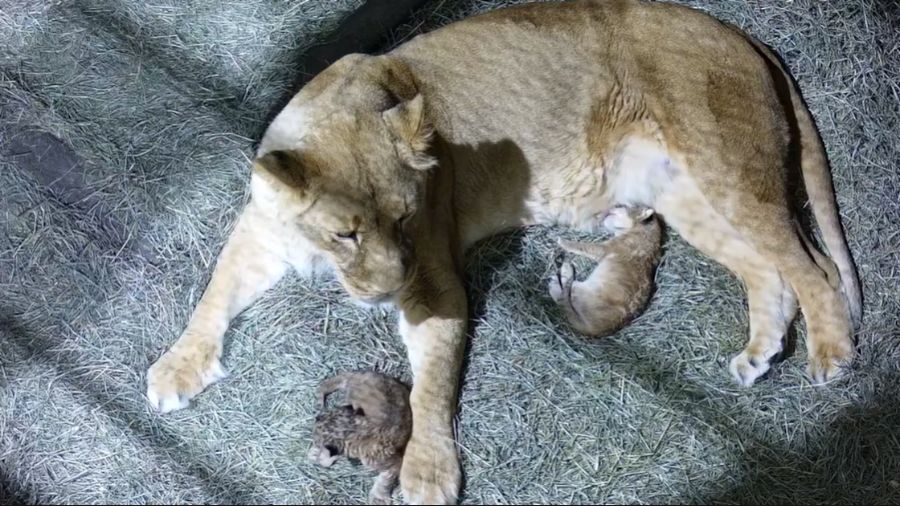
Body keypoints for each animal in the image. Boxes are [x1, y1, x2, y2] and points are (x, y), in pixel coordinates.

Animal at [145, 1, 862, 503]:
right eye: (346, 233)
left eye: (406, 217)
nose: (388, 289)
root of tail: (733, 31)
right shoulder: (258, 233)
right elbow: (212, 294)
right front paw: (175, 369)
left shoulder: (433, 281)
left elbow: (432, 388)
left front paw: (427, 471)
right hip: (685, 195)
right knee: (769, 270)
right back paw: (760, 352)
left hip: (724, 168)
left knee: (814, 266)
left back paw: (832, 354)